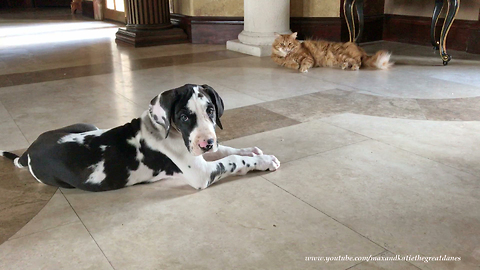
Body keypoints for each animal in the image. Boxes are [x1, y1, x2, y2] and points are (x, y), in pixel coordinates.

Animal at [0, 84, 280, 192]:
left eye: (210, 110)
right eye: (183, 116)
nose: (206, 142)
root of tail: (30, 151)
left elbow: (228, 151)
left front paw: (253, 151)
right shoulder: (201, 174)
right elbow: (231, 161)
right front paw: (265, 160)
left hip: (87, 125)